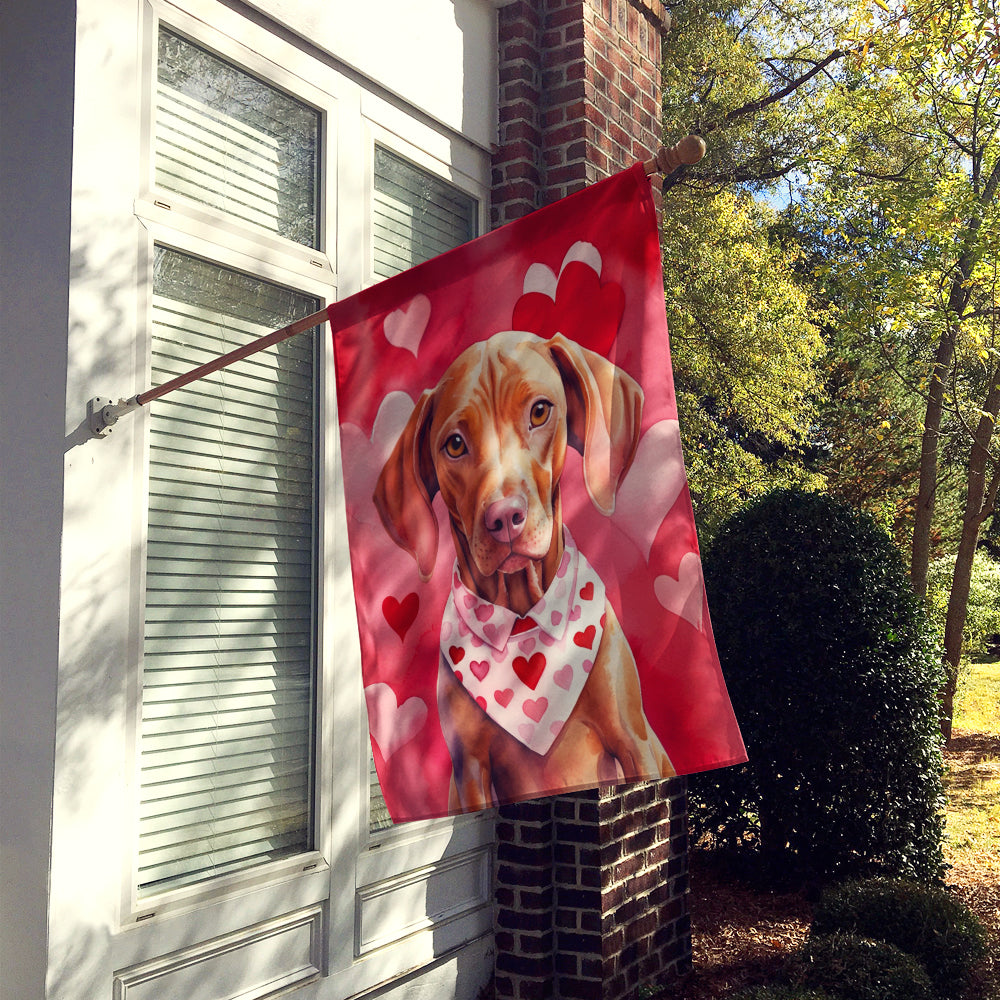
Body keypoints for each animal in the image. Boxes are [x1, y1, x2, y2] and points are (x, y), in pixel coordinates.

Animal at [374, 332, 672, 808]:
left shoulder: (632, 742)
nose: (504, 518)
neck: (521, 619)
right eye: (454, 444)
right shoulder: (470, 770)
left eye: (539, 411)